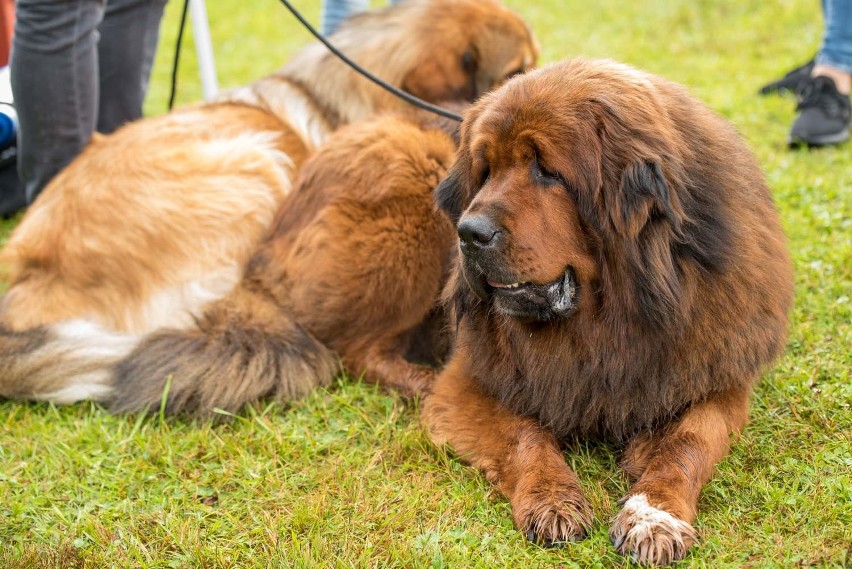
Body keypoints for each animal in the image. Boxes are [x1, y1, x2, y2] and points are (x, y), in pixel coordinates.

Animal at [422, 57, 796, 564]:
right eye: (485, 170)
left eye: (548, 172)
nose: (469, 232)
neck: (604, 324)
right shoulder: (468, 380)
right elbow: (523, 435)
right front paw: (552, 499)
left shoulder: (714, 379)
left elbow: (688, 442)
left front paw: (654, 515)